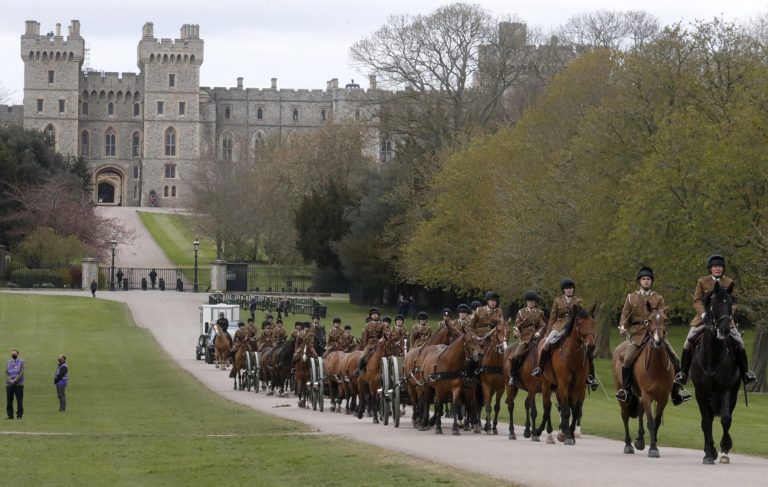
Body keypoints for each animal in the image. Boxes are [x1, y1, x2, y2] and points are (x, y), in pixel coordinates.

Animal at [540, 304, 592, 446]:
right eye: (580, 323)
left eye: (593, 322)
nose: (591, 345)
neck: (572, 356)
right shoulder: (563, 385)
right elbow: (566, 410)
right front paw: (567, 436)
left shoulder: (579, 388)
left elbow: (576, 411)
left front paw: (570, 434)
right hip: (546, 385)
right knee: (548, 407)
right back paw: (550, 435)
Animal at [612, 304, 672, 458]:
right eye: (649, 320)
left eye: (665, 319)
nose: (658, 341)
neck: (658, 366)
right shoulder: (647, 395)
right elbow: (650, 422)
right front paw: (653, 448)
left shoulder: (663, 398)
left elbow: (656, 422)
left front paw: (652, 442)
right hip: (622, 393)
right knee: (625, 416)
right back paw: (628, 445)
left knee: (639, 411)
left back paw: (639, 440)